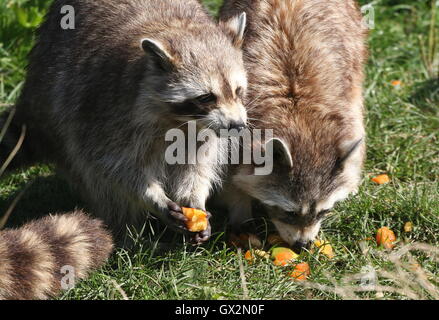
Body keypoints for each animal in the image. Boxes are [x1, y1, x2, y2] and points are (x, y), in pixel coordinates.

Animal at [3, 0, 249, 244]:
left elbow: (196, 164)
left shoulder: (201, 129)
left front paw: (195, 198)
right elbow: (114, 167)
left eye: (238, 91)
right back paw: (126, 233)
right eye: (206, 97)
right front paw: (152, 198)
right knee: (95, 178)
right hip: (60, 116)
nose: (237, 126)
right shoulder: (108, 111)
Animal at [220, 0, 368, 250]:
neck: (299, 118)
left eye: (323, 212)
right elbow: (231, 178)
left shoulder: (346, 111)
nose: (303, 245)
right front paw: (242, 218)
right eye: (289, 213)